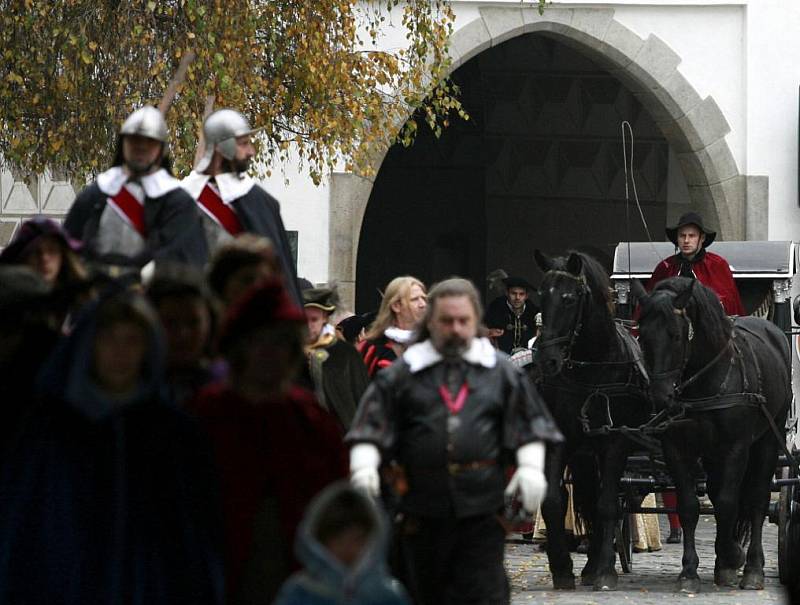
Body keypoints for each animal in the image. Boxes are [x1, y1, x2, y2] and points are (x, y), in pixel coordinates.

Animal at [532, 251, 648, 588]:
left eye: (570, 298)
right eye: (541, 296)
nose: (547, 360)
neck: (594, 368)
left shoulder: (616, 442)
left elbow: (607, 504)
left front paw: (605, 570)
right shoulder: (562, 440)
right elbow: (553, 500)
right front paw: (561, 568)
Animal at [632, 278, 792, 588]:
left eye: (676, 336)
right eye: (642, 337)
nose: (660, 398)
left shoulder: (736, 448)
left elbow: (729, 503)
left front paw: (733, 556)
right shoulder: (677, 449)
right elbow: (690, 506)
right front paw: (690, 571)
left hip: (768, 439)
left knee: (756, 500)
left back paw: (752, 568)